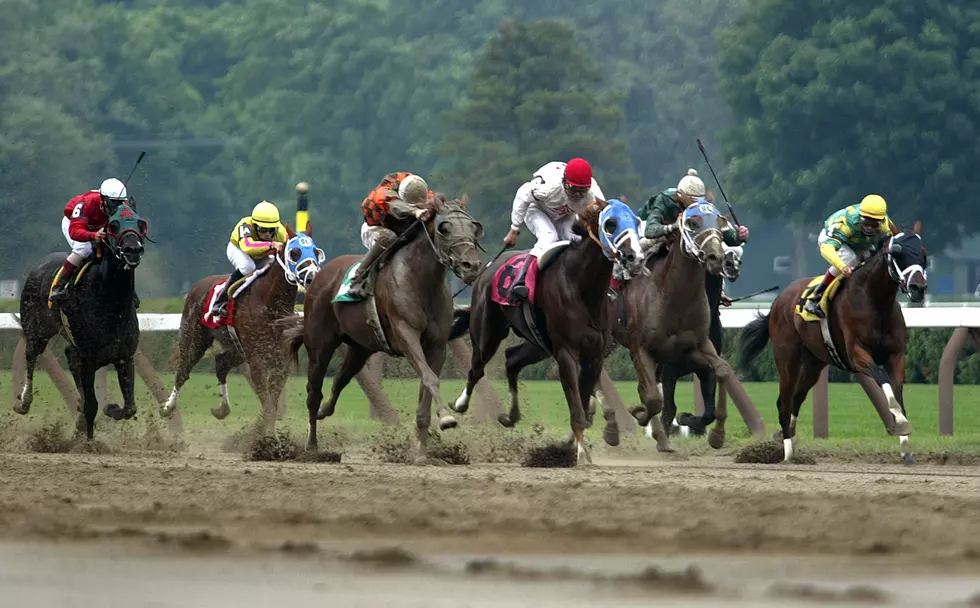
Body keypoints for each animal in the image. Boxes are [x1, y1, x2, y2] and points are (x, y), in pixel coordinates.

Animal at [15, 203, 146, 436]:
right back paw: (24, 400)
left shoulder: (124, 355)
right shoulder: (87, 360)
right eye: (113, 225)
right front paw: (87, 438)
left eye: (140, 223)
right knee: (31, 355)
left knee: (69, 356)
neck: (110, 303)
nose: (132, 250)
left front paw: (110, 409)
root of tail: (39, 265)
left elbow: (129, 407)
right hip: (36, 330)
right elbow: (91, 406)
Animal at [284, 195, 482, 456]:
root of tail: (318, 276)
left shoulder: (437, 345)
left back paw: (325, 410)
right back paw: (312, 446)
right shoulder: (406, 335)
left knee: (340, 379)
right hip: (320, 344)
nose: (472, 266)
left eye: (473, 227)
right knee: (313, 392)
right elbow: (430, 378)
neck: (421, 281)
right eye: (445, 228)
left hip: (361, 347)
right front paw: (447, 418)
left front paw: (422, 451)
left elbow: (425, 390)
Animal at [448, 197, 648, 464]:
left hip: (538, 345)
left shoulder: (594, 356)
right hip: (488, 333)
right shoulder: (566, 353)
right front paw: (581, 454)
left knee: (511, 359)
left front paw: (568, 446)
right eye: (610, 223)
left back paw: (510, 416)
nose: (635, 258)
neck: (582, 288)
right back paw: (459, 405)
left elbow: (583, 400)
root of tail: (487, 269)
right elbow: (576, 407)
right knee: (476, 368)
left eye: (636, 221)